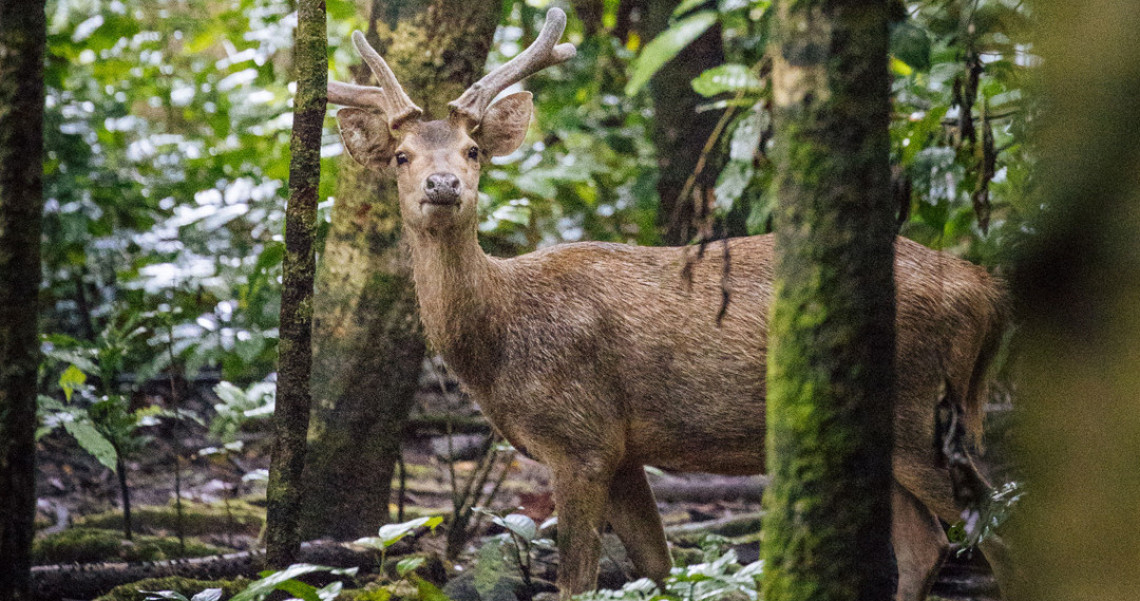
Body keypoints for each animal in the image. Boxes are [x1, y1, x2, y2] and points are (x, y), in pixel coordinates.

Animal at [326, 9, 1012, 601]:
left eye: (473, 152)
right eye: (401, 156)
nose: (443, 185)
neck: (500, 341)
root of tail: (986, 291)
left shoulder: (580, 439)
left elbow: (578, 582)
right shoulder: (623, 449)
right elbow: (660, 568)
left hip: (919, 408)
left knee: (996, 530)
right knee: (927, 548)